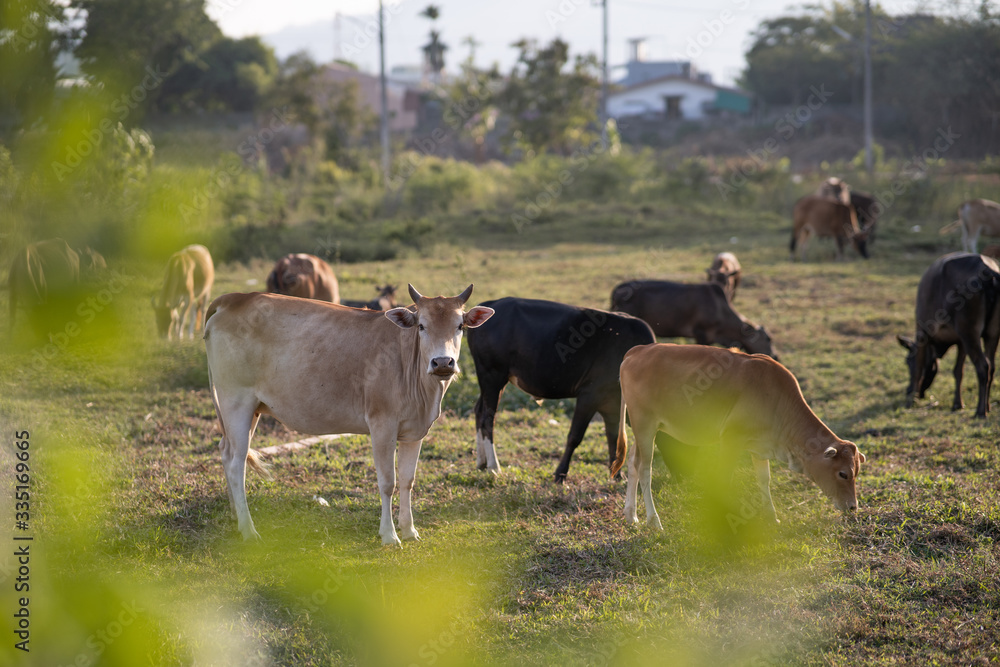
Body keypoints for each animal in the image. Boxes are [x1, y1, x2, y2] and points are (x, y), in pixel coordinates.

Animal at [205, 284, 494, 544]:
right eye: (421, 326)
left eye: (460, 326)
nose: (443, 362)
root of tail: (235, 298)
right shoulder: (382, 424)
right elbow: (387, 482)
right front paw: (389, 535)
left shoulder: (415, 431)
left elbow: (407, 480)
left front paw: (410, 530)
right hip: (236, 401)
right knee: (237, 463)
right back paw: (248, 529)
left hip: (251, 409)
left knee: (226, 451)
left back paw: (235, 515)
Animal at [900, 254, 1000, 418]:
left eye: (907, 361)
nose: (908, 391)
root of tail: (989, 271)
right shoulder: (961, 341)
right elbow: (958, 371)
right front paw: (957, 404)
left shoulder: (922, 331)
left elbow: (918, 368)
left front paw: (910, 401)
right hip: (991, 333)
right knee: (991, 366)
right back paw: (987, 406)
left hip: (969, 331)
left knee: (983, 366)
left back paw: (980, 411)